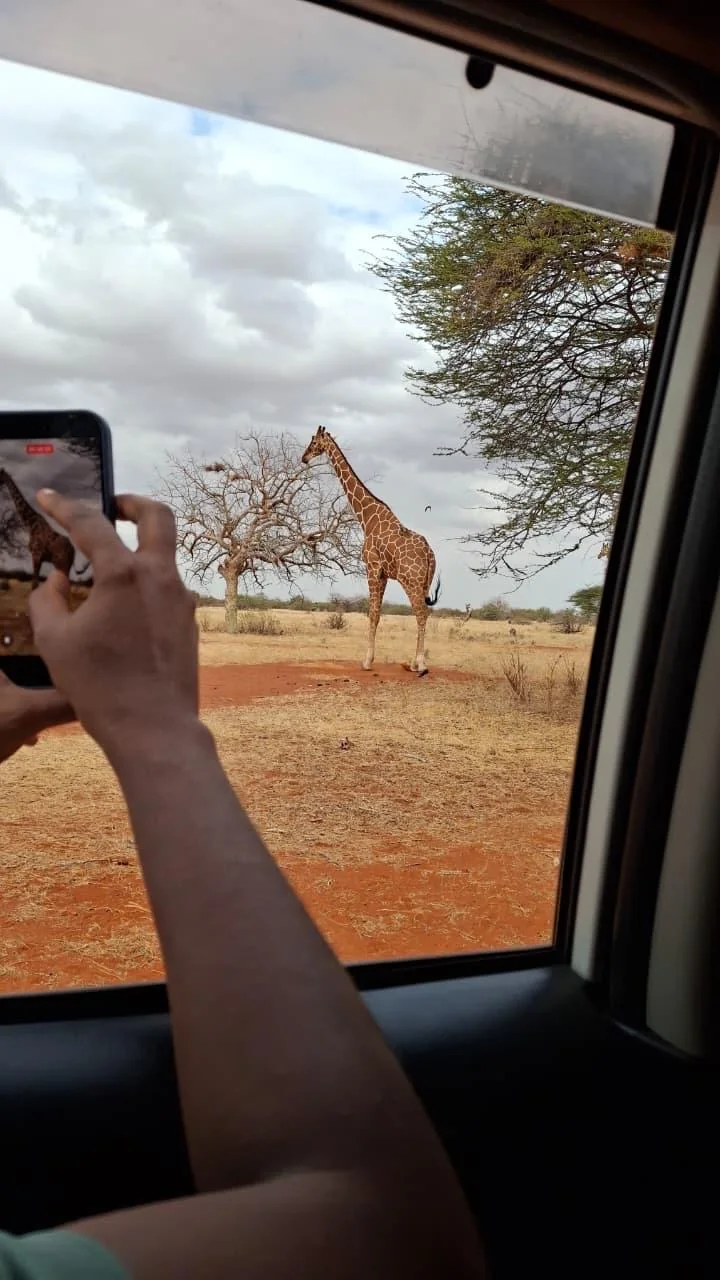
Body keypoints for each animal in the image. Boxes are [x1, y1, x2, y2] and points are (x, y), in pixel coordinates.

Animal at [302, 426, 440, 675]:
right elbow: (377, 614)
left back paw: (421, 665)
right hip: (424, 581)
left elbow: (372, 613)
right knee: (422, 612)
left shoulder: (372, 567)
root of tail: (428, 553)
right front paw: (369, 659)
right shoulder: (383, 573)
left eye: (314, 442)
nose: (304, 457)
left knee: (421, 613)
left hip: (411, 580)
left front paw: (366, 661)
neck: (366, 517)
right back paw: (414, 662)